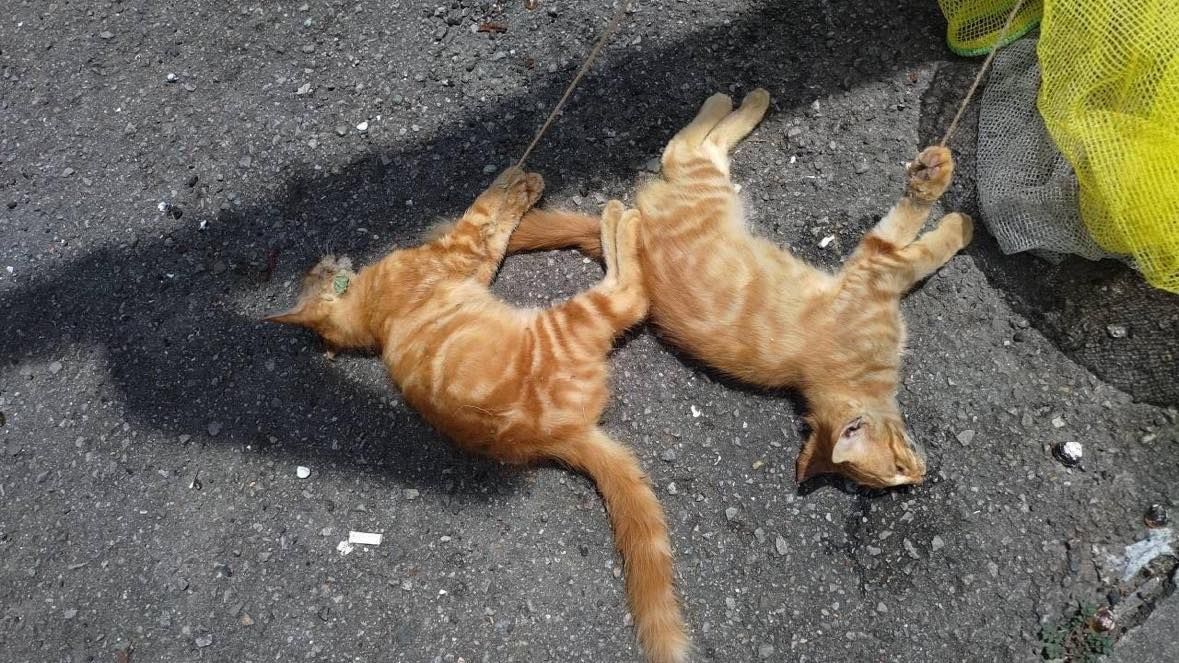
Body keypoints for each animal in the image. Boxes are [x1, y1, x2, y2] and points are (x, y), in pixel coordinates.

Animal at [265, 169, 688, 660]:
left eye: (312, 271)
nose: (321, 256)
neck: (370, 318)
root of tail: (565, 434)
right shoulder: (459, 250)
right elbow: (484, 211)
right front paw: (517, 183)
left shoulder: (474, 265)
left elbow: (495, 230)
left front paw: (520, 189)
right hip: (574, 319)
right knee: (630, 294)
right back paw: (620, 220)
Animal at [511, 91, 971, 486]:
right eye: (896, 470)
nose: (921, 477)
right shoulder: (879, 267)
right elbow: (921, 240)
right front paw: (957, 220)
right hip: (708, 185)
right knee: (684, 148)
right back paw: (744, 102)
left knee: (690, 149)